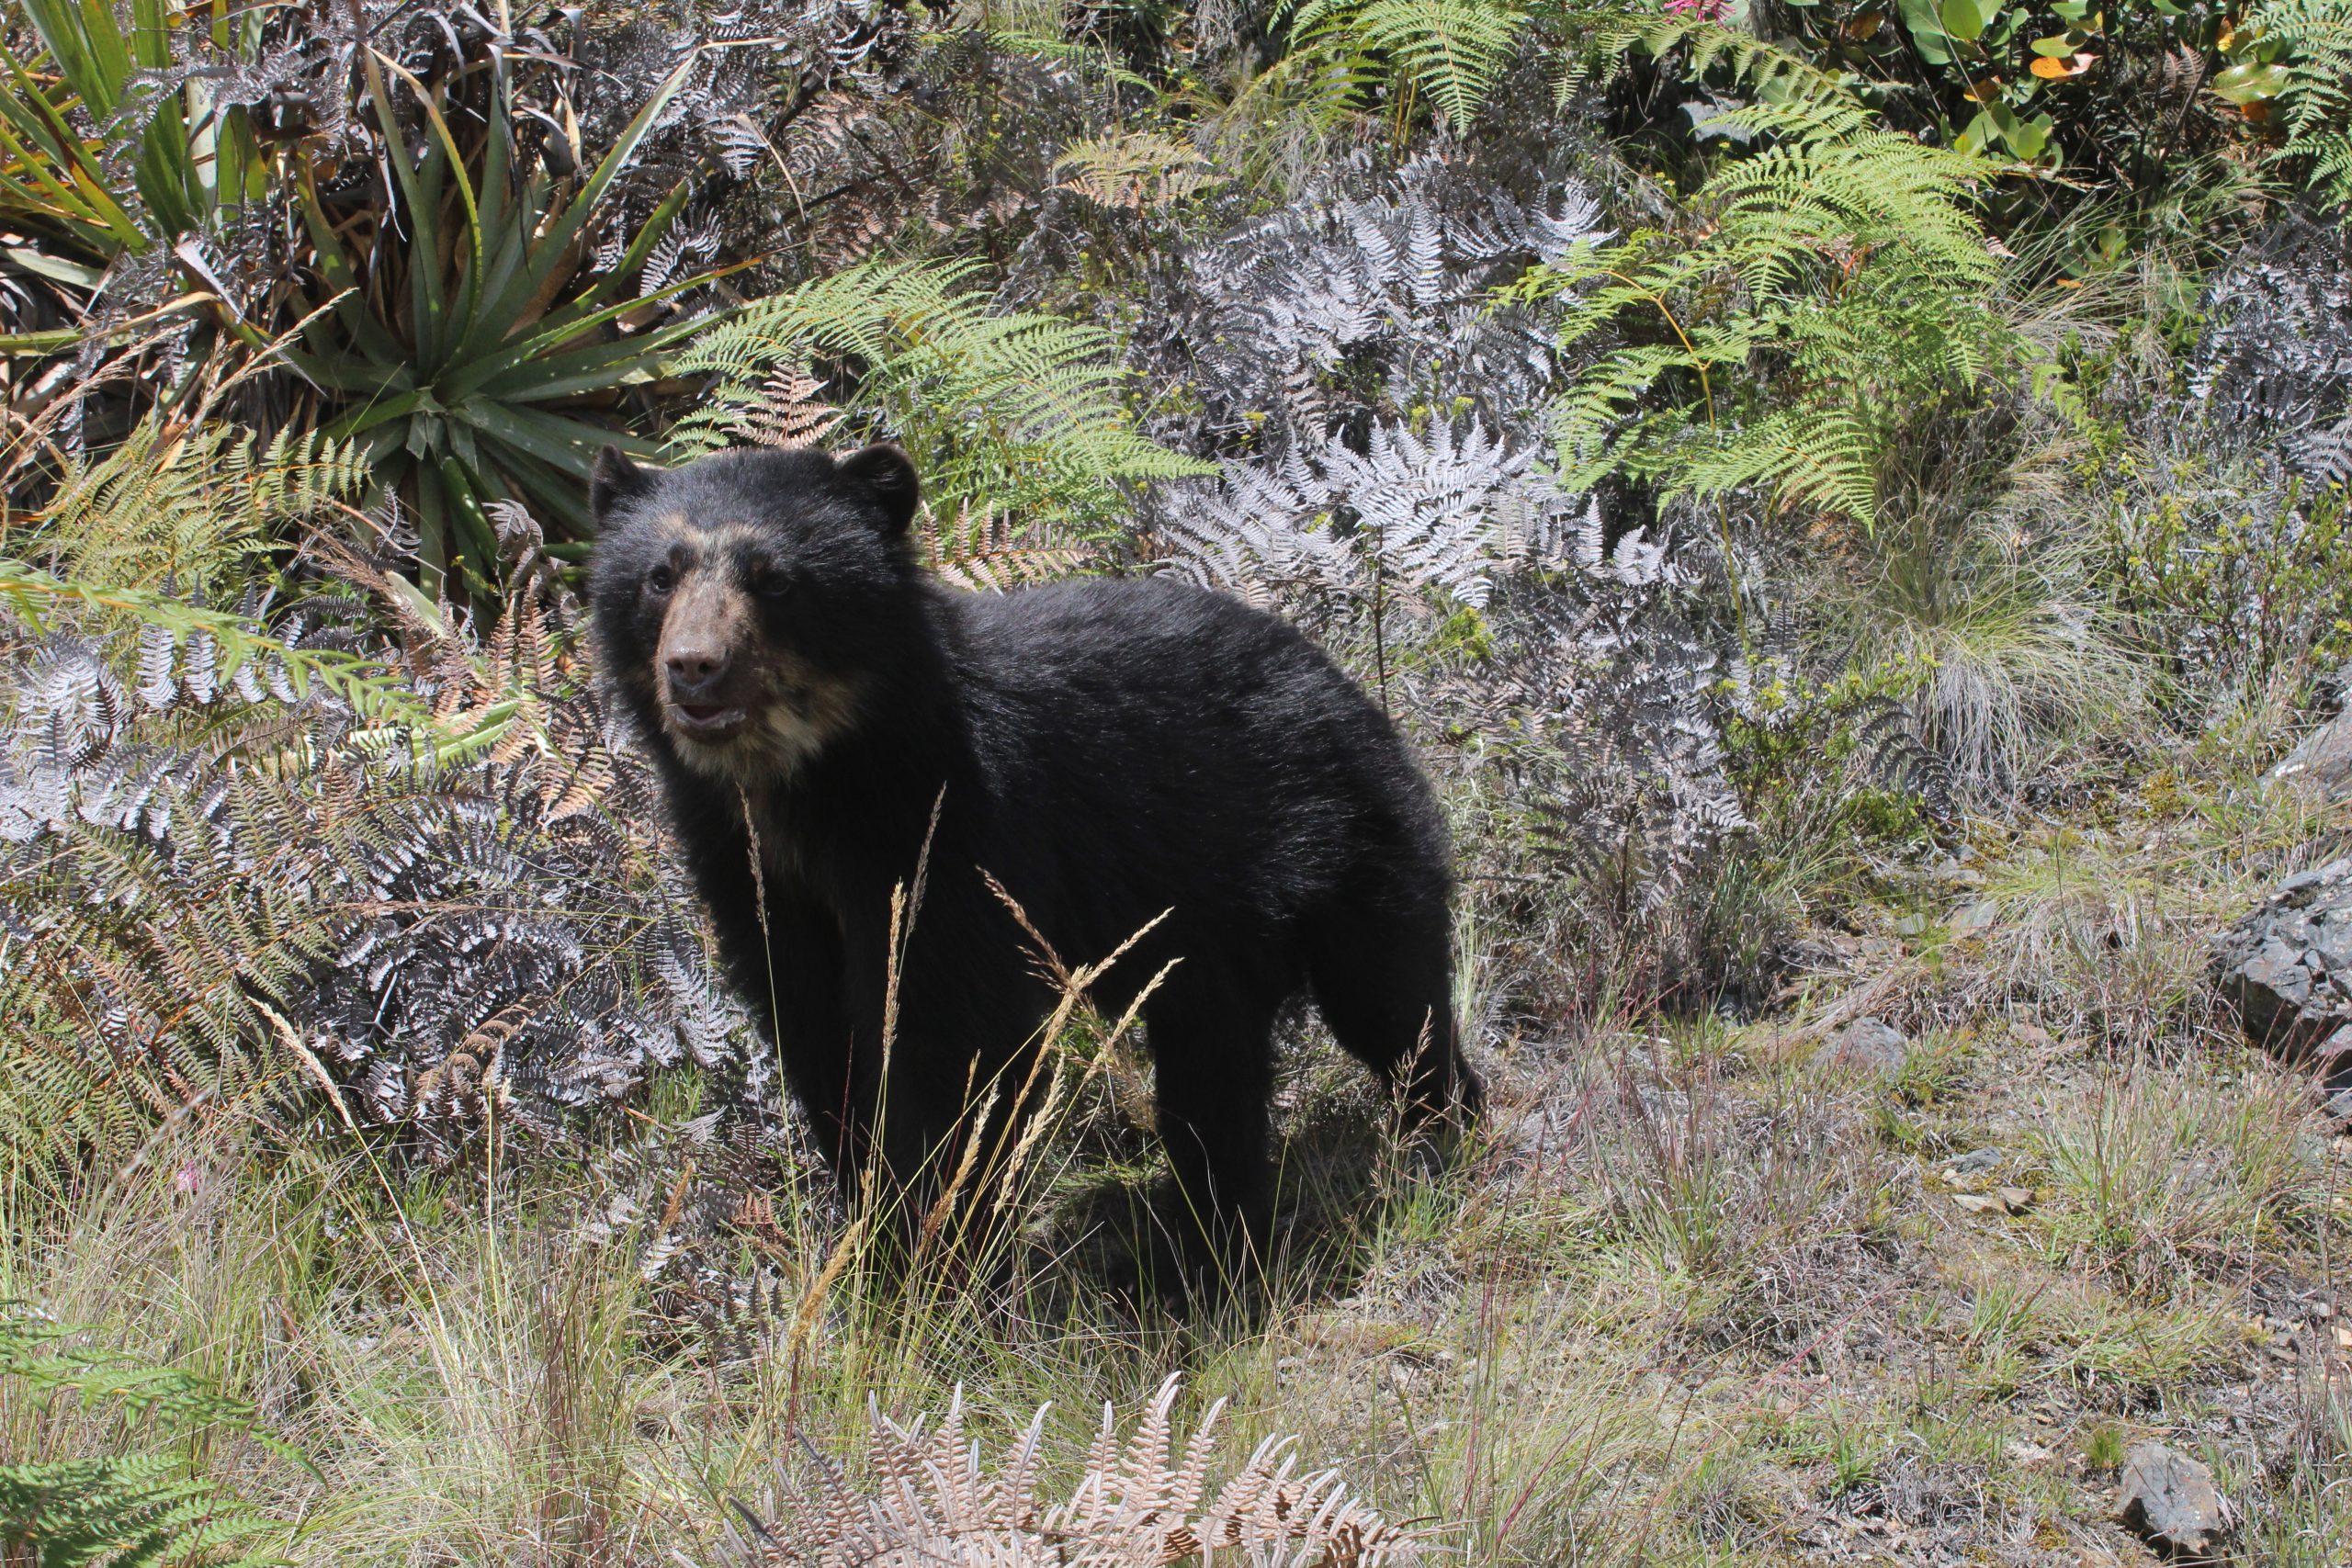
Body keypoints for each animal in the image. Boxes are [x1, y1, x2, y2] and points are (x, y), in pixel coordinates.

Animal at [587, 441, 1479, 1282]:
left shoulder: (957, 828)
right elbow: (817, 1032)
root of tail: (1351, 687)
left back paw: (1434, 1136)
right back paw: (1202, 1244)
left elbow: (960, 1041)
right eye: (659, 577)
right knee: (1214, 1072)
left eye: (775, 580)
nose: (693, 667)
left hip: (1343, 845)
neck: (812, 782)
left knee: (1393, 1003)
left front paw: (947, 1254)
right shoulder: (751, 871)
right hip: (1210, 933)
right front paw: (875, 1241)